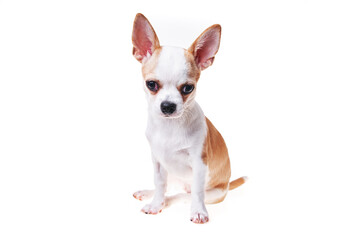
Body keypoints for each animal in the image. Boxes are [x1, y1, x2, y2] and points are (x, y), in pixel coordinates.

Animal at [132, 13, 248, 223]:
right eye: (151, 84)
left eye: (188, 88)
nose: (168, 106)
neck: (169, 126)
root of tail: (227, 186)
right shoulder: (158, 162)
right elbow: (160, 184)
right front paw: (155, 204)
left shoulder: (199, 164)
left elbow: (196, 192)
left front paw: (198, 212)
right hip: (170, 172)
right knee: (169, 187)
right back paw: (149, 194)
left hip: (213, 193)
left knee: (183, 195)